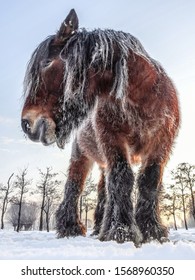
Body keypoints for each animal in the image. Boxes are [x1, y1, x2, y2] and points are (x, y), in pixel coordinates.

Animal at [21, 9, 180, 244]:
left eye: (47, 62)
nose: (27, 124)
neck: (142, 96)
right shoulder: (112, 139)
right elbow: (122, 179)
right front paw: (122, 231)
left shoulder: (161, 141)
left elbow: (148, 181)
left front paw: (151, 231)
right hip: (82, 156)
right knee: (74, 186)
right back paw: (70, 227)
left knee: (104, 189)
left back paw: (98, 227)